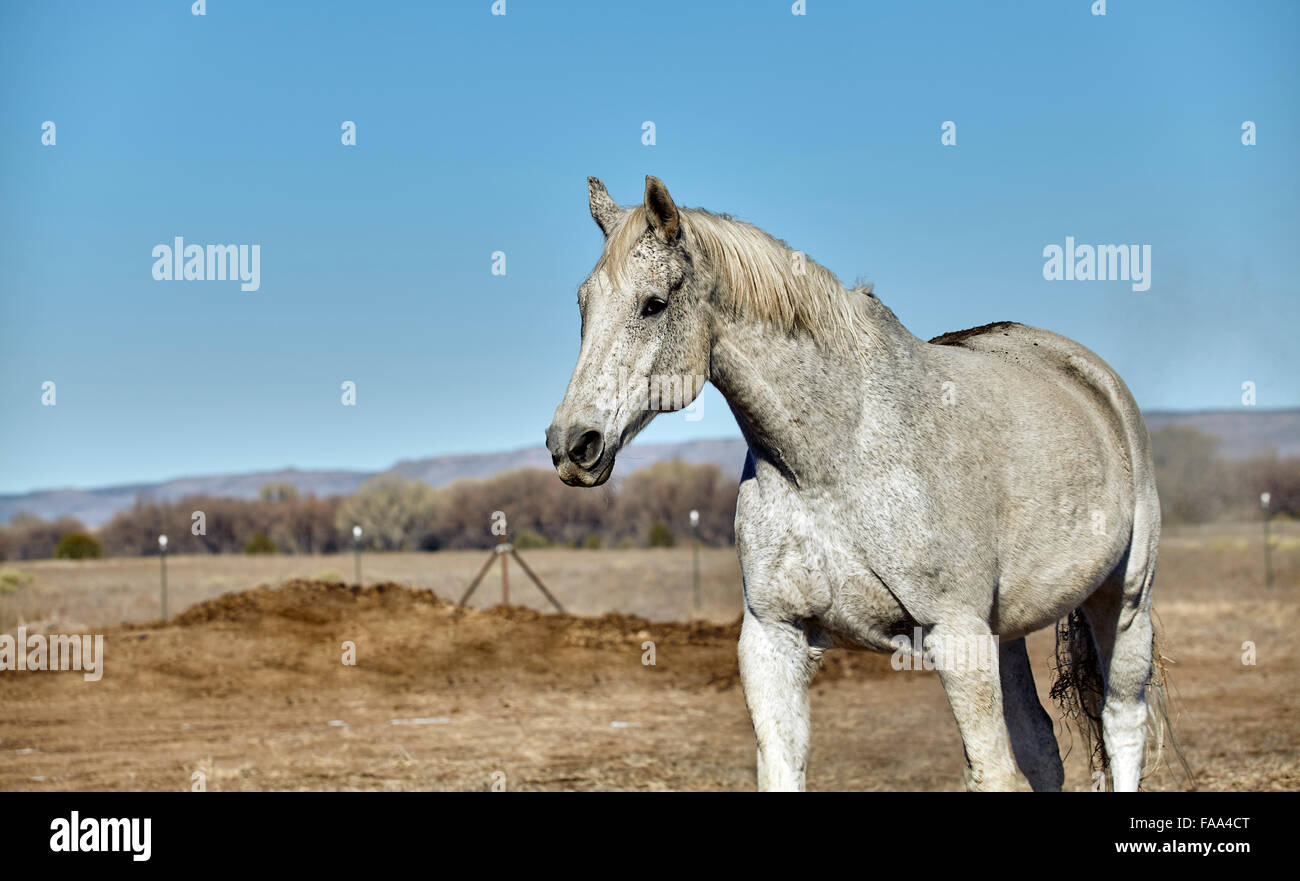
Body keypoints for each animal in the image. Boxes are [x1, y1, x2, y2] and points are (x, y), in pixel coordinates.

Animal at [546, 175, 1178, 792]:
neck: (829, 462)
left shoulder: (957, 635)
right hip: (1007, 634)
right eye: (582, 305)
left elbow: (992, 771)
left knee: (1121, 726)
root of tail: (1092, 379)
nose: (572, 445)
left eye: (653, 304)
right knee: (1042, 747)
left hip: (1123, 604)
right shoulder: (773, 637)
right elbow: (783, 766)